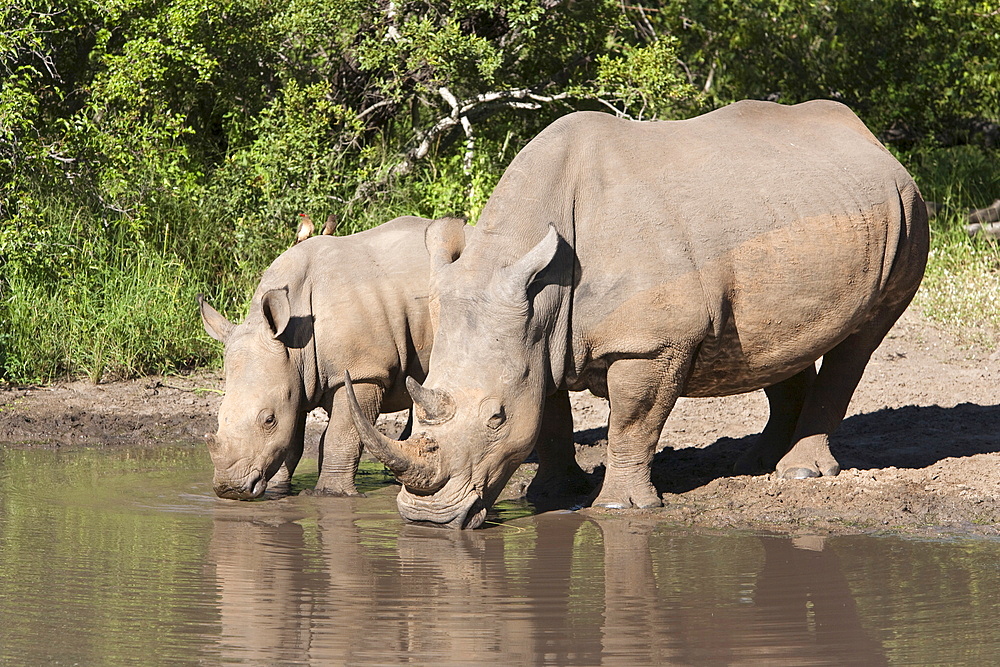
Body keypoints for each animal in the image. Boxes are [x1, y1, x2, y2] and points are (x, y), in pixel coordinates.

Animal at [350, 100, 928, 528]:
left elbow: (633, 421)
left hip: (907, 210)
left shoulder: (651, 343)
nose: (423, 519)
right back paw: (754, 466)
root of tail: (873, 139)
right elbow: (552, 416)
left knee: (861, 341)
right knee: (780, 341)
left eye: (497, 418)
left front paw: (617, 506)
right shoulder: (538, 335)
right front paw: (550, 496)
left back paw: (800, 475)